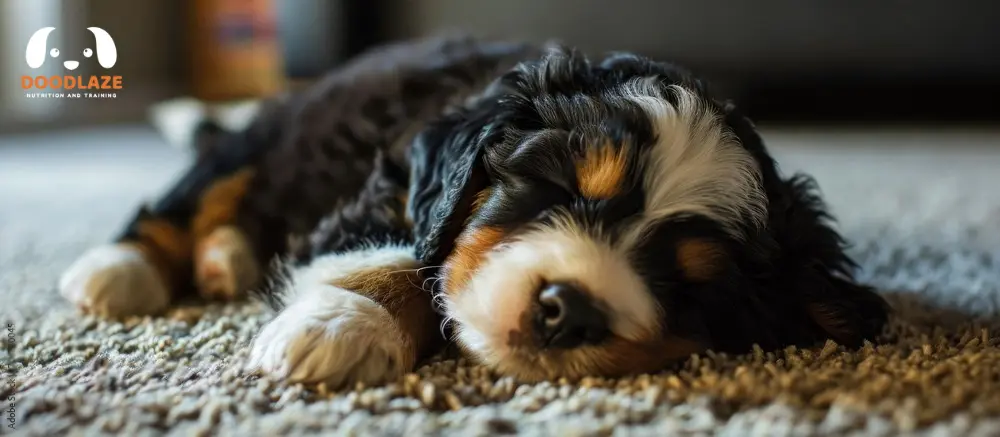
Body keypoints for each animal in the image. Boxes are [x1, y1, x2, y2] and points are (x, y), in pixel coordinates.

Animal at [60, 35, 892, 386]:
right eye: (558, 190)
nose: (568, 309)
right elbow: (403, 260)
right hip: (265, 139)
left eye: (692, 284)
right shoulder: (389, 183)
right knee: (190, 197)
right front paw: (343, 328)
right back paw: (120, 269)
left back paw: (225, 259)